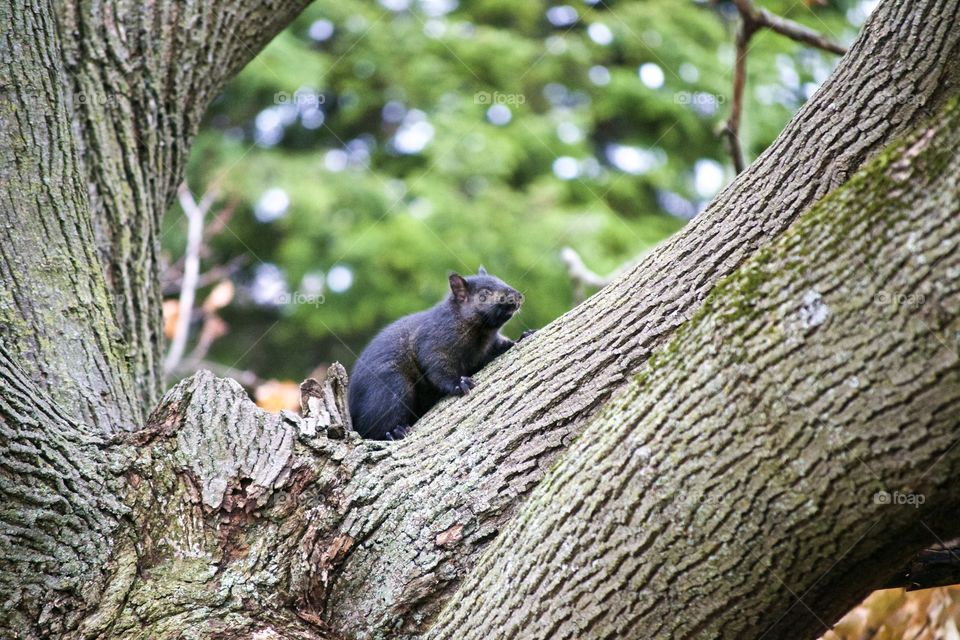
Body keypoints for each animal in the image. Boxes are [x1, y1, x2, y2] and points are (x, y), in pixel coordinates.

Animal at [348, 267, 532, 440]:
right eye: (484, 294)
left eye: (500, 279)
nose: (518, 296)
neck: (481, 333)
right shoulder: (434, 344)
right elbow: (439, 370)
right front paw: (459, 383)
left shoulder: (487, 349)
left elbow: (499, 348)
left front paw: (523, 336)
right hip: (389, 389)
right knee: (373, 427)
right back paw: (393, 432)